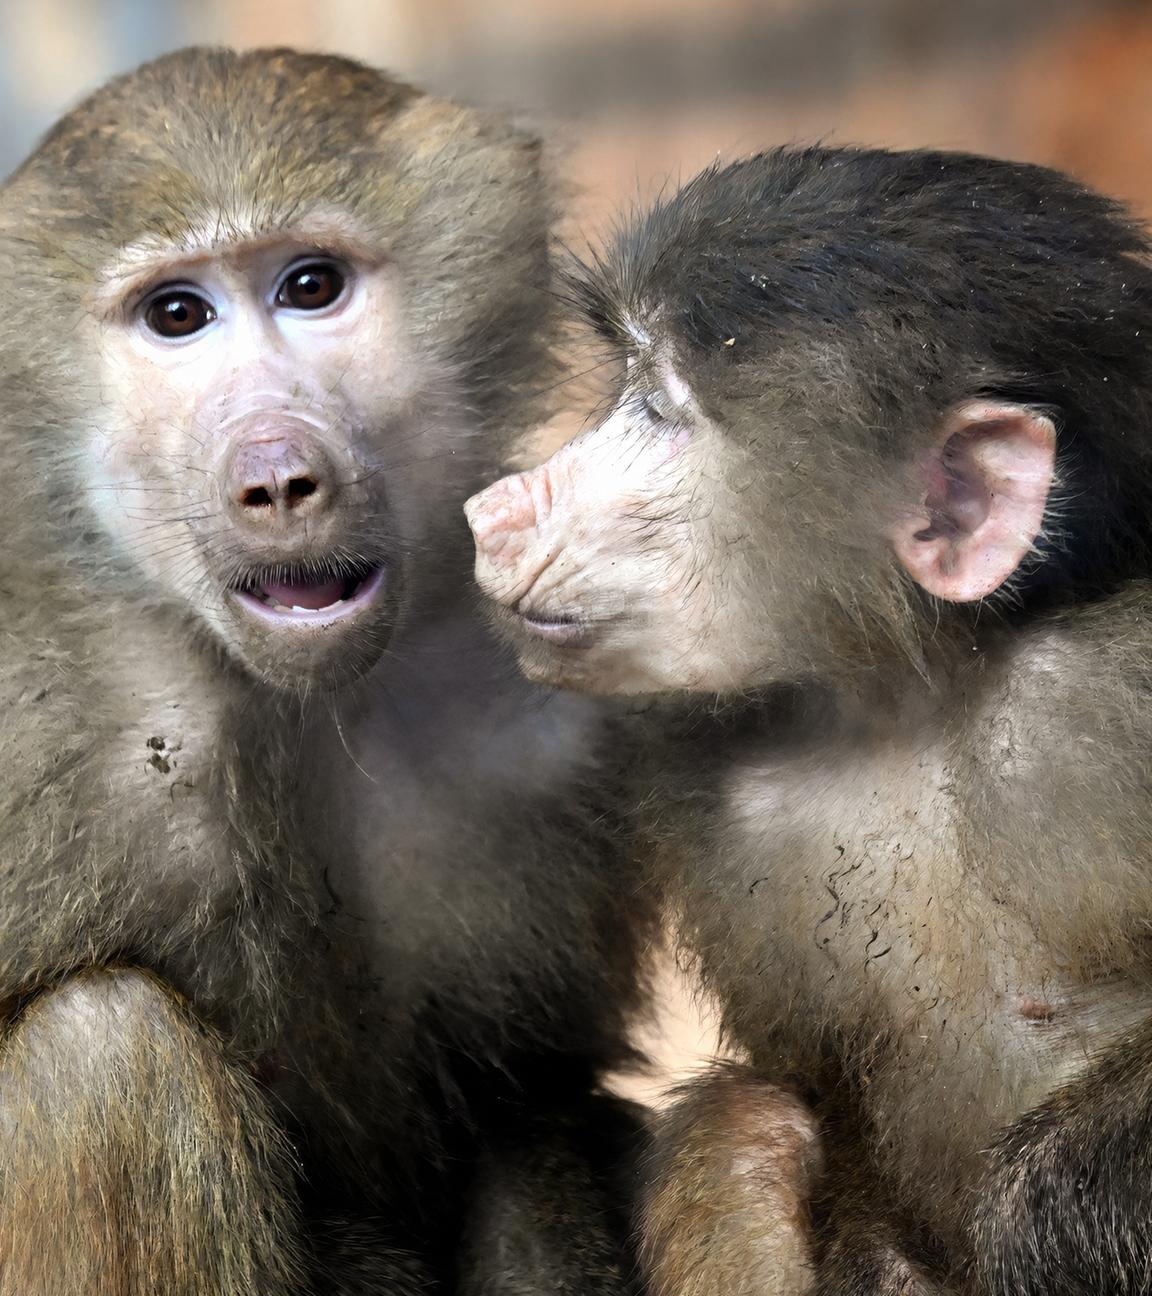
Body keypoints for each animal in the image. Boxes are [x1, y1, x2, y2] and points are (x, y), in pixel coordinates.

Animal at [465, 144, 1152, 1295]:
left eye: (658, 410)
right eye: (627, 389)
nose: (491, 511)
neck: (919, 702)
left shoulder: (1119, 688)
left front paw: (1047, 1206)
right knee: (744, 1133)